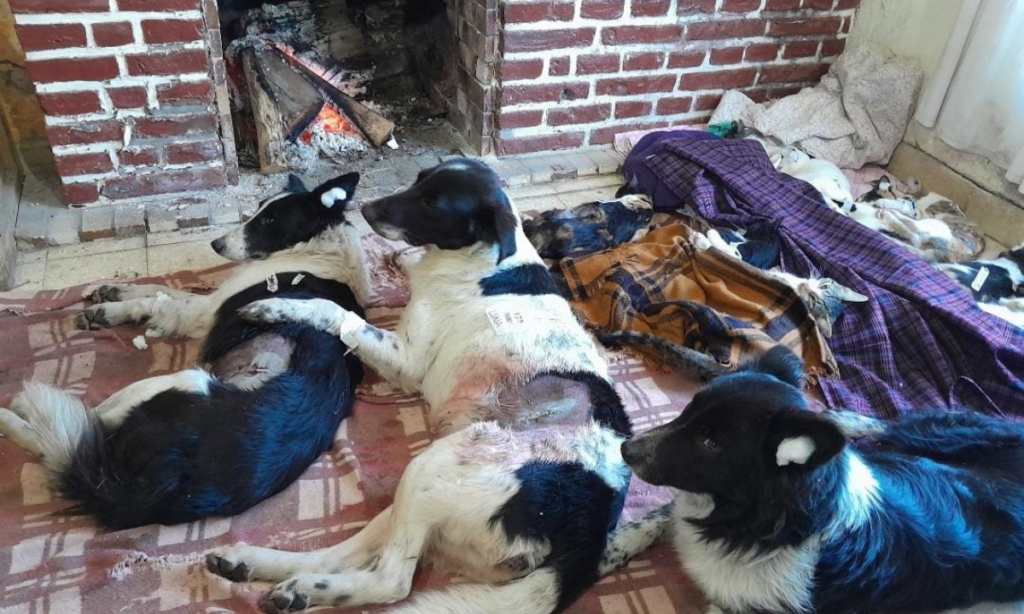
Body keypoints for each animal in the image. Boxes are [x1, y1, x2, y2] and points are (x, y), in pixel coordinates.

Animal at [0, 173, 368, 529]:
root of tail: (163, 489)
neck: (316, 246)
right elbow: (159, 288)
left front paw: (109, 311)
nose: (216, 244)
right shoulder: (206, 305)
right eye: (259, 209)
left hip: (178, 384)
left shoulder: (205, 313)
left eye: (270, 220)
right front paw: (114, 291)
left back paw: (14, 413)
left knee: (73, 431)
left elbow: (155, 301)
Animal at [204, 159, 633, 614]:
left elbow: (335, 311)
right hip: (417, 494)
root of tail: (589, 532)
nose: (365, 209)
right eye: (419, 180)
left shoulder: (407, 360)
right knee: (344, 553)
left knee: (391, 580)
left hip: (434, 466)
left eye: (431, 202)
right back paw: (257, 567)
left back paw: (302, 589)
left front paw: (277, 304)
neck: (479, 259)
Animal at [609, 346, 1024, 614]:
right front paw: (613, 548)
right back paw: (842, 421)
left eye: (710, 442)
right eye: (688, 410)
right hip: (930, 436)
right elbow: (662, 514)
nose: (625, 448)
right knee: (885, 427)